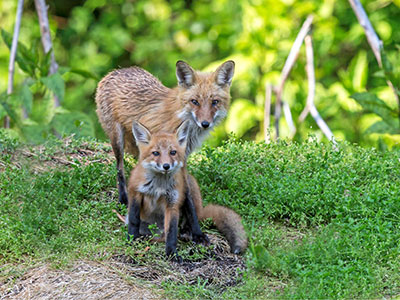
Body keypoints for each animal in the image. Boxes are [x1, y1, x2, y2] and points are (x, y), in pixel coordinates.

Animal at [95, 61, 234, 206]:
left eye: (215, 102)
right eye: (194, 101)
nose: (205, 123)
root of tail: (116, 71)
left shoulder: (180, 155)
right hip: (117, 139)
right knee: (119, 168)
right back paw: (123, 197)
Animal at [128, 120, 247, 260]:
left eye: (173, 152)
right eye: (156, 153)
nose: (166, 166)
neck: (159, 186)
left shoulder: (172, 202)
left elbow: (172, 231)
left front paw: (172, 253)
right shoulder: (135, 193)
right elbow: (133, 220)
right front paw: (132, 239)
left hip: (189, 185)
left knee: (190, 217)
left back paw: (190, 233)